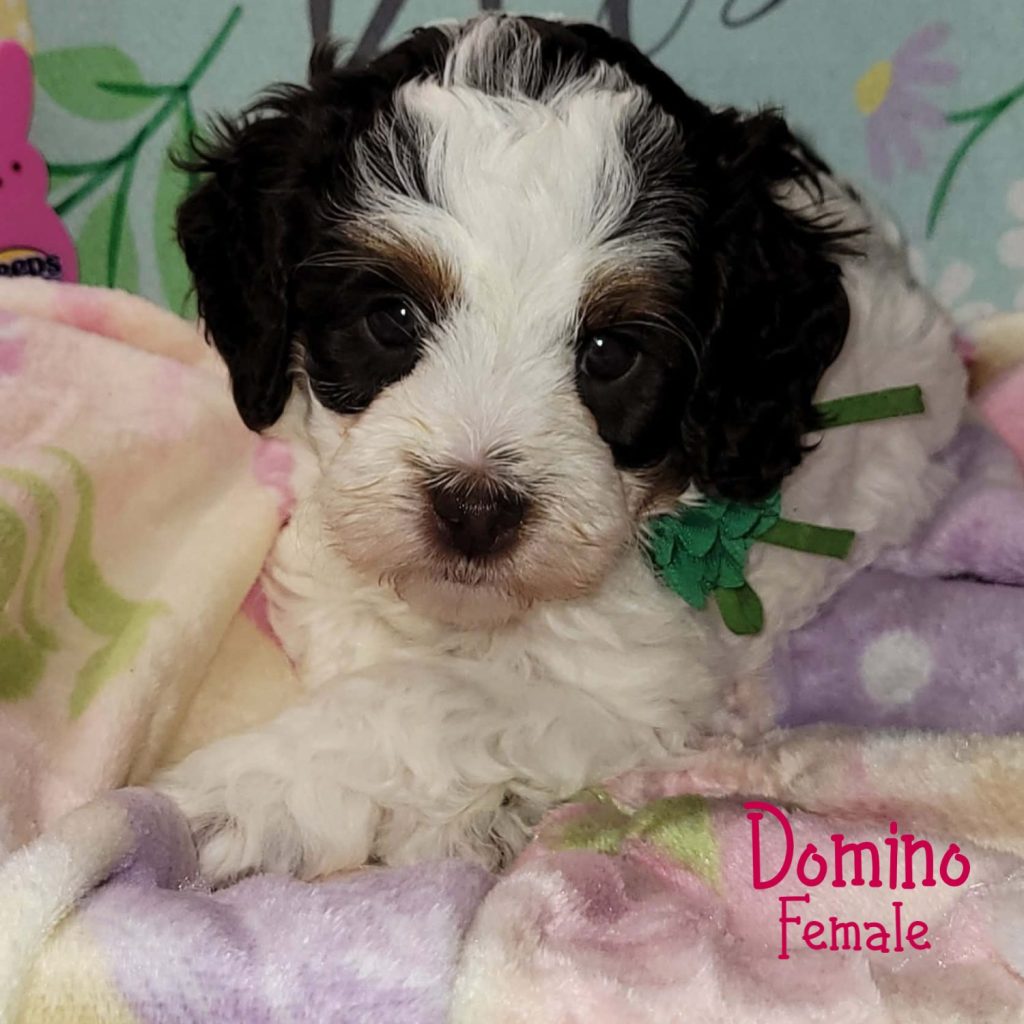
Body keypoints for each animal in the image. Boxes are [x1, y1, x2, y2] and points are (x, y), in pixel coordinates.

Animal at [154, 14, 966, 884]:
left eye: (609, 353)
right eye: (391, 318)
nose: (474, 510)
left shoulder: (636, 695)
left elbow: (424, 693)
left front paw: (242, 793)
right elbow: (365, 650)